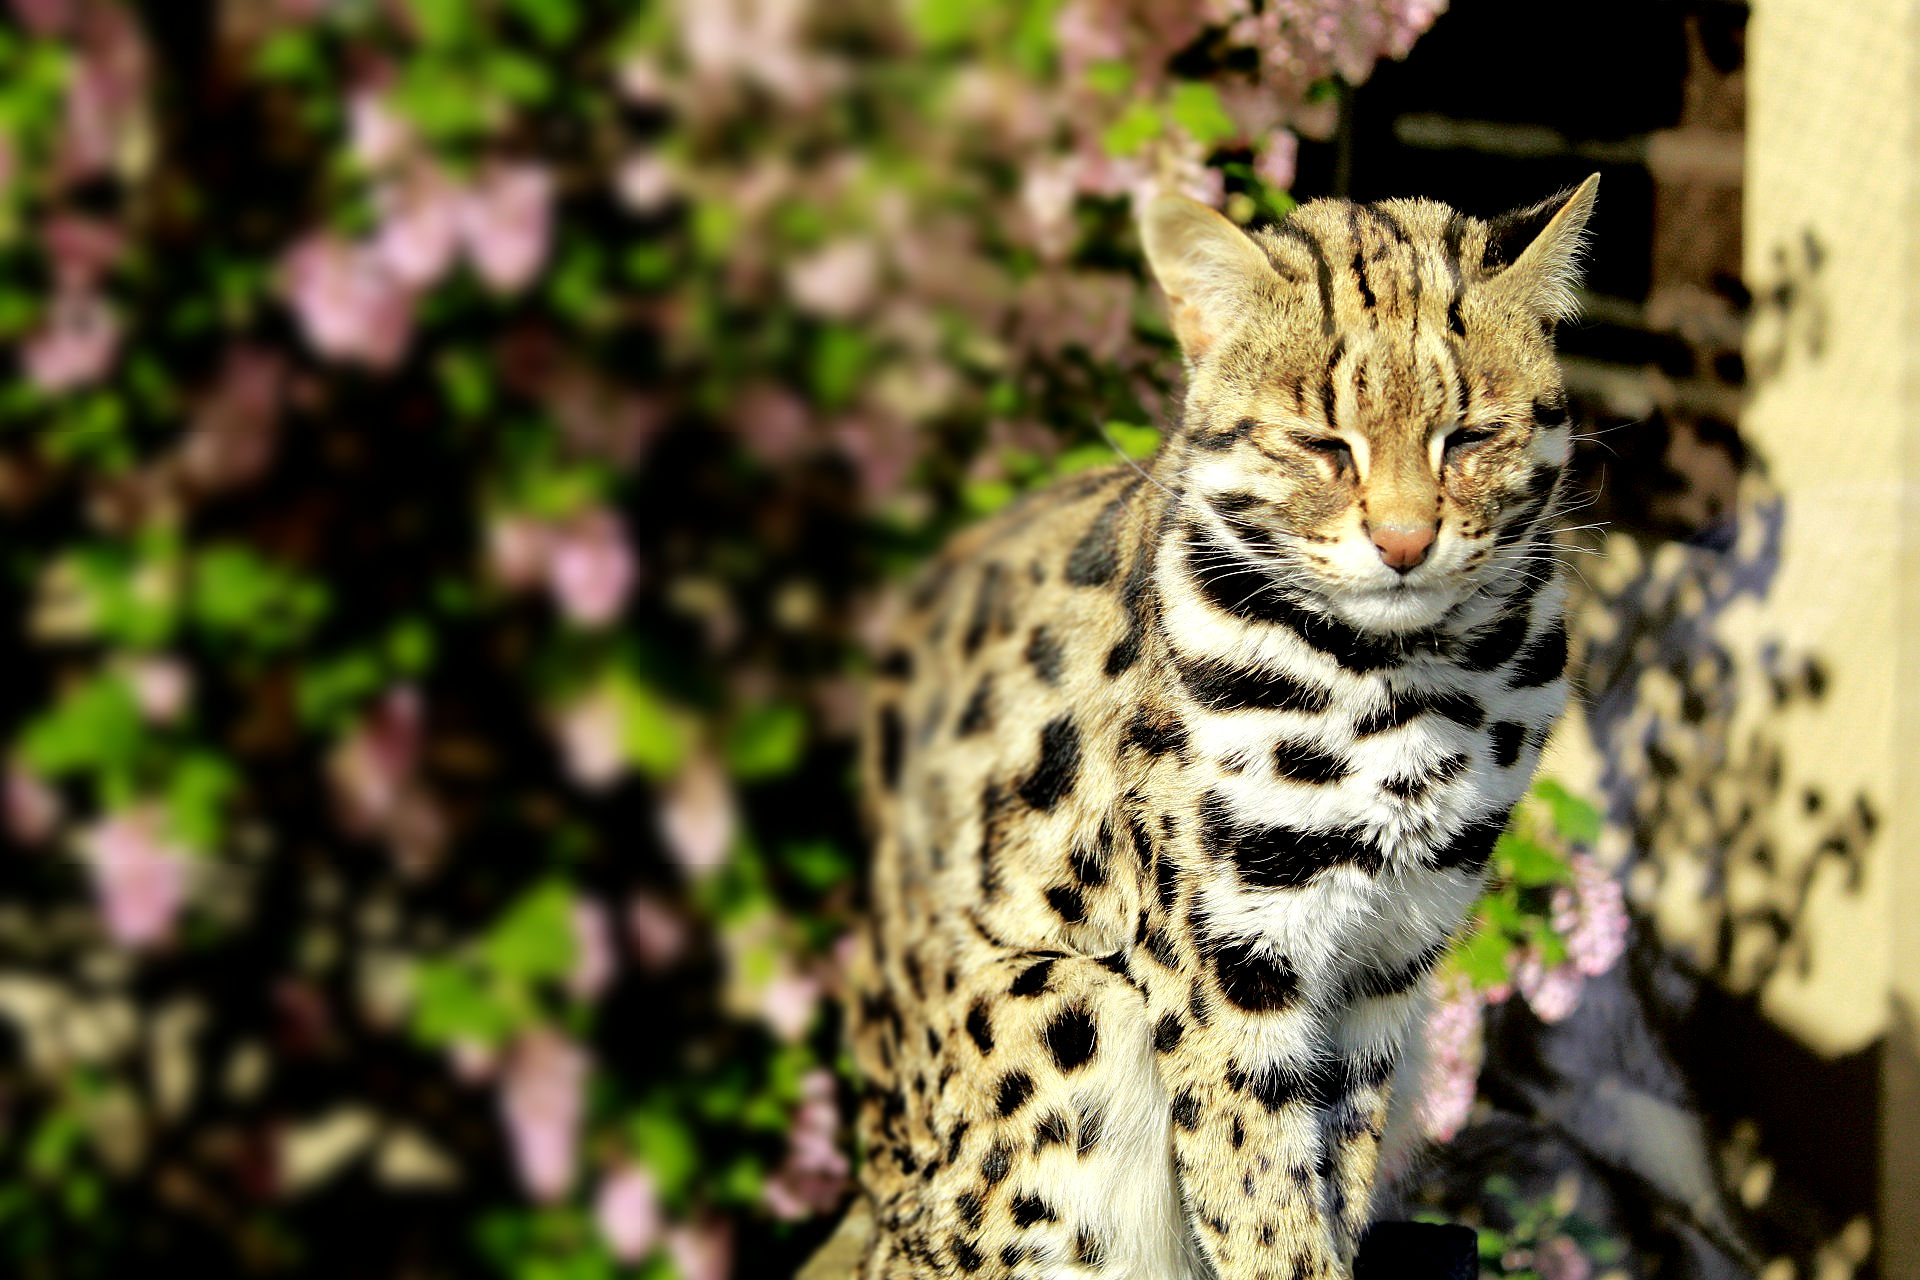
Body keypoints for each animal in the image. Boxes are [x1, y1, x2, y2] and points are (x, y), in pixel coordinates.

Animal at [845, 175, 1600, 1280]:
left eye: (1468, 437)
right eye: (1323, 444)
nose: (1405, 541)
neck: (1409, 681)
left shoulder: (1394, 949)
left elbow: (1335, 1163)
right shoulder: (1221, 956)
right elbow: (1258, 1192)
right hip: (1064, 1003)